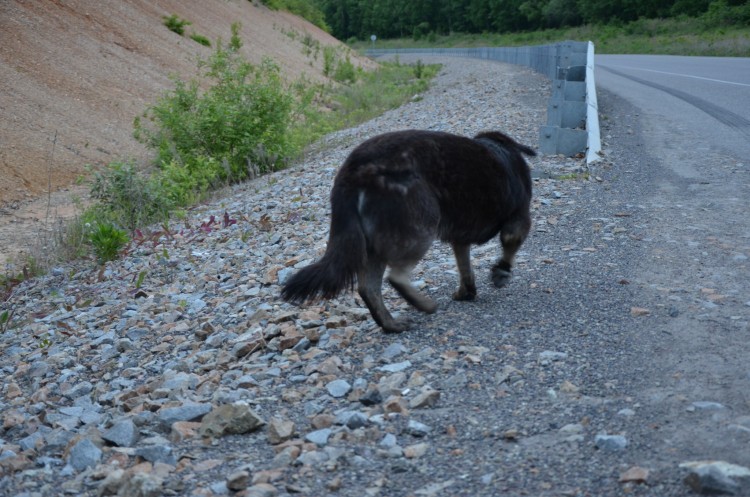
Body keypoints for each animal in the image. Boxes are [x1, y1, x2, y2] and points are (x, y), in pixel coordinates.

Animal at [280, 128, 536, 332]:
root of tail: (352, 172)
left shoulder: (459, 240)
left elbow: (465, 267)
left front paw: (467, 291)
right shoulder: (519, 217)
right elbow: (510, 244)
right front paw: (501, 272)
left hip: (373, 245)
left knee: (368, 287)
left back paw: (391, 325)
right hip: (420, 229)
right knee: (396, 277)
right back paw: (423, 305)